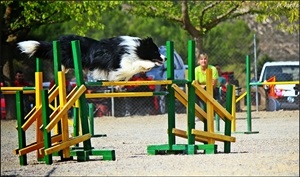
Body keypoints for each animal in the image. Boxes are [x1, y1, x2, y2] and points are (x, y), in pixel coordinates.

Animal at [17, 34, 165, 81]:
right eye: (155, 51)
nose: (165, 58)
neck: (136, 48)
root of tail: (59, 40)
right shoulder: (122, 63)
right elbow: (135, 64)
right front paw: (149, 65)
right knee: (64, 62)